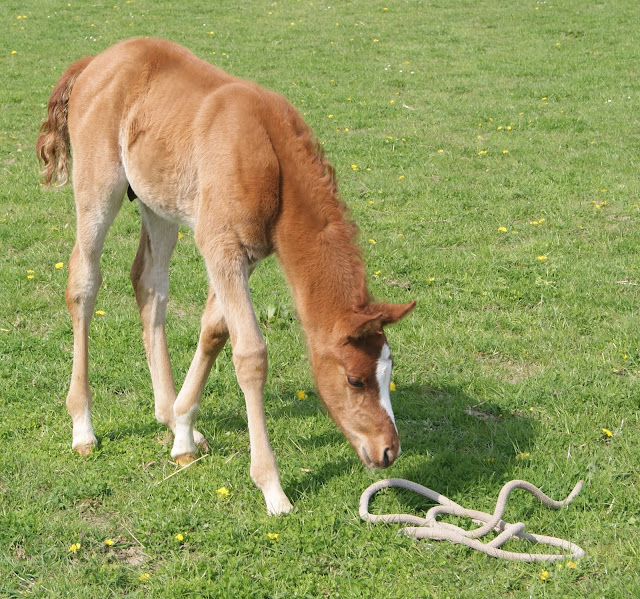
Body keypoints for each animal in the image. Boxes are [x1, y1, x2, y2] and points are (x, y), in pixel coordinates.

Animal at [36, 38, 416, 516]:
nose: (389, 451)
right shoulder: (220, 246)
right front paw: (272, 488)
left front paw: (182, 432)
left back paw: (166, 414)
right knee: (83, 282)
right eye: (355, 380)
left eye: (388, 370)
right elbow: (250, 354)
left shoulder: (245, 253)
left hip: (157, 203)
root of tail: (94, 63)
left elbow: (214, 330)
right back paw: (83, 428)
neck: (269, 157)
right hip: (98, 186)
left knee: (149, 283)